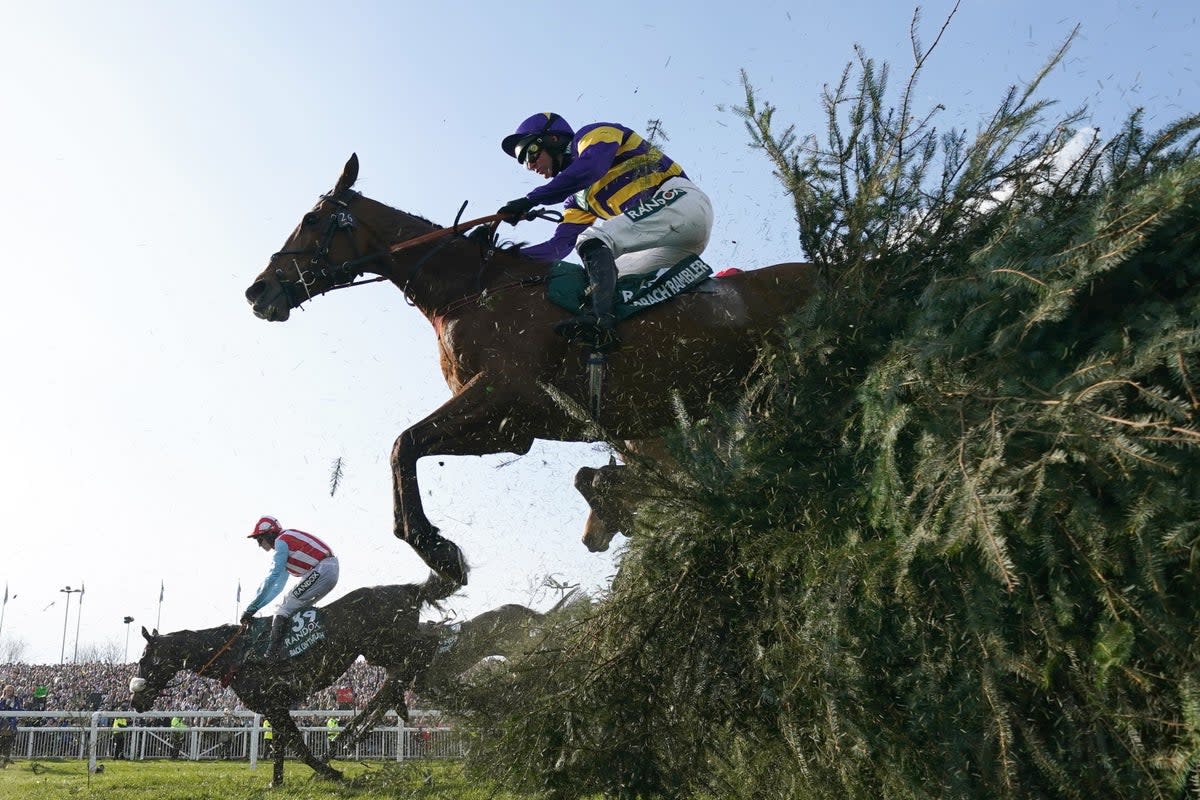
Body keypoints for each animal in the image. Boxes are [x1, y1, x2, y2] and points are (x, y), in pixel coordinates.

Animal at [127, 575, 453, 786]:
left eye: (144, 660)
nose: (135, 700)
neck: (235, 653)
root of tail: (408, 589)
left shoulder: (272, 702)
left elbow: (297, 742)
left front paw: (329, 772)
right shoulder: (274, 705)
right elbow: (282, 742)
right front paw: (277, 781)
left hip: (384, 645)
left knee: (422, 652)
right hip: (380, 651)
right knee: (405, 669)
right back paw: (382, 713)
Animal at [247, 154, 820, 587]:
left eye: (313, 220)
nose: (258, 291)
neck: (471, 290)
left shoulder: (505, 394)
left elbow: (403, 444)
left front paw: (437, 551)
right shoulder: (513, 428)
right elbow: (407, 448)